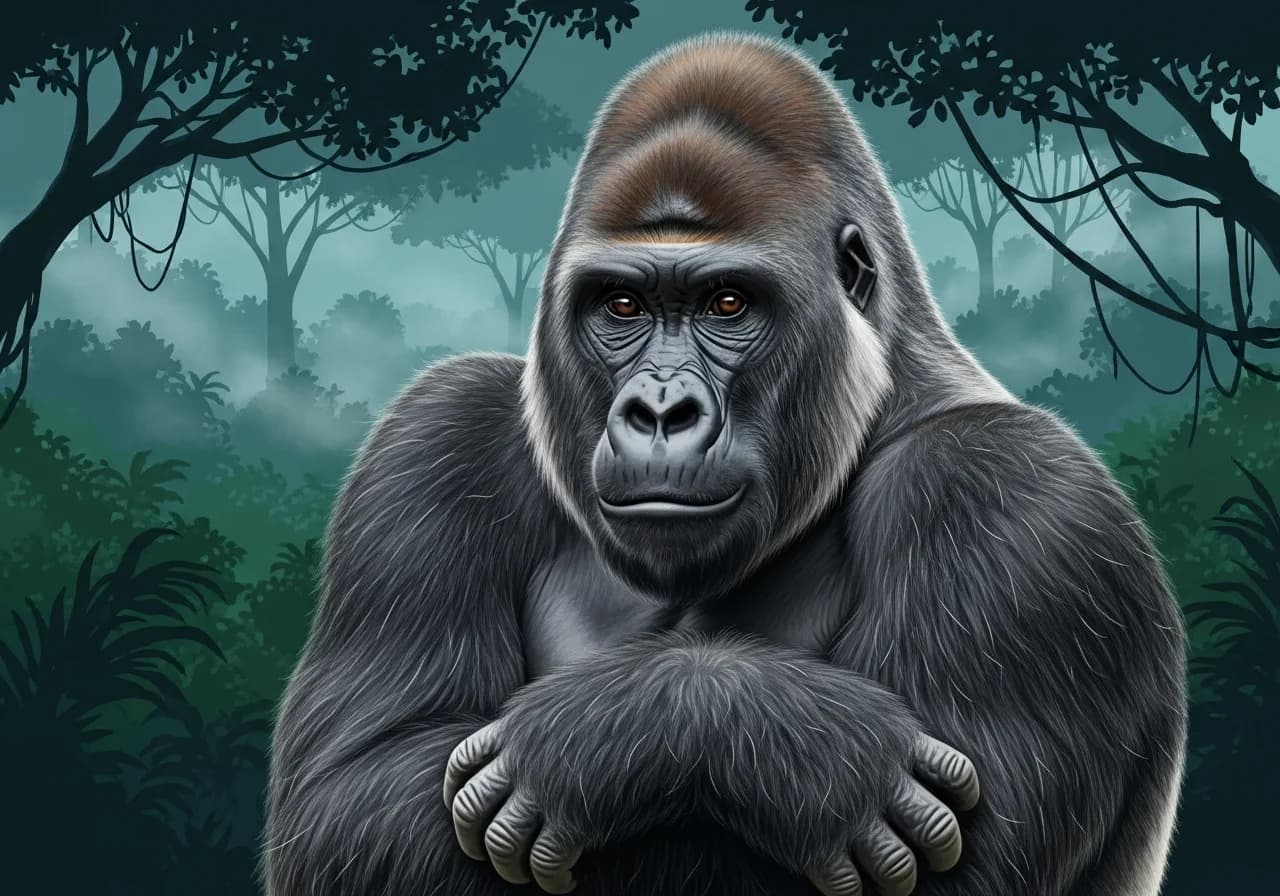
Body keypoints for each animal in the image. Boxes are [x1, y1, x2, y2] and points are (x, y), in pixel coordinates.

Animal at [265, 32, 1187, 896]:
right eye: (622, 305)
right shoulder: (435, 434)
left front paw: (650, 729)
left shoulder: (1009, 489)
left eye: (728, 303)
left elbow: (971, 865)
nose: (661, 412)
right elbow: (350, 797)